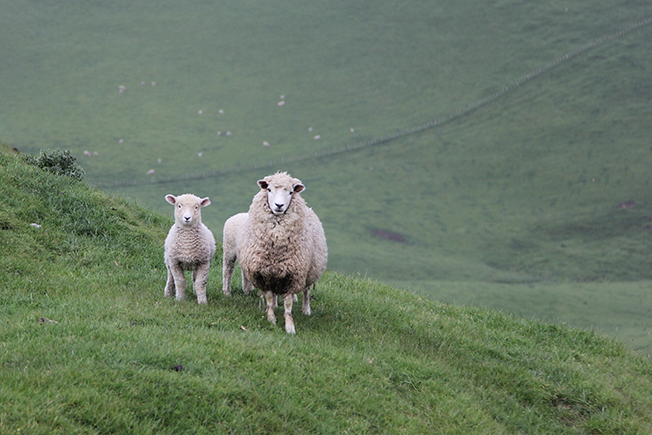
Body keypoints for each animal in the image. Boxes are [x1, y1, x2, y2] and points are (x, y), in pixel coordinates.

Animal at [237, 172, 328, 336]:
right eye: (269, 190)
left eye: (290, 192)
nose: (279, 206)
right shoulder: (264, 274)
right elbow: (268, 297)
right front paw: (271, 318)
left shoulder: (293, 275)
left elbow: (288, 303)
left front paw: (289, 326)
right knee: (274, 295)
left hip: (309, 271)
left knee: (306, 291)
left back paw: (306, 309)